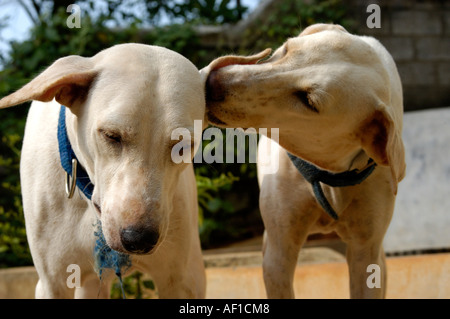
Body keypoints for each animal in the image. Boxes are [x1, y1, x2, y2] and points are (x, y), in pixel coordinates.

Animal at [202, 23, 406, 298]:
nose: (212, 82)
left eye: (308, 100)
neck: (327, 175)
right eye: (287, 49)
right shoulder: (278, 252)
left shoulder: (367, 252)